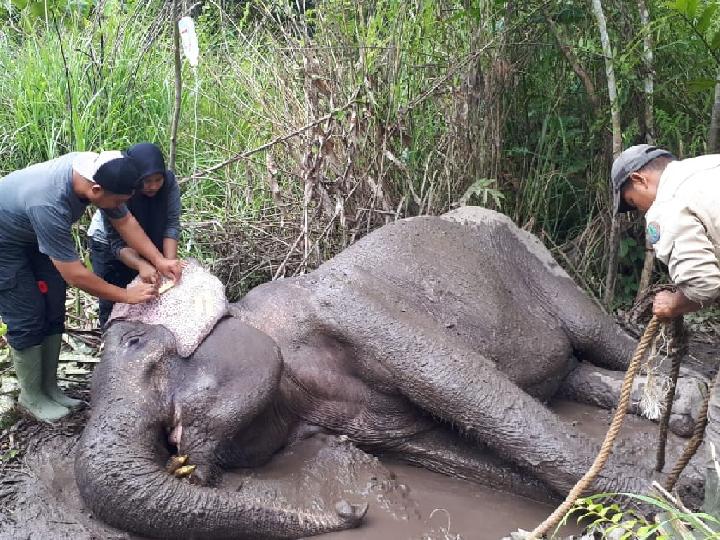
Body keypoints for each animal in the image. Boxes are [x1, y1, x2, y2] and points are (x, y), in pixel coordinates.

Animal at [76, 207, 704, 540]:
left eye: (135, 342)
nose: (351, 509)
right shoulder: (372, 424)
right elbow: (447, 447)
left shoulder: (351, 307)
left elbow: (470, 389)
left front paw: (675, 509)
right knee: (570, 371)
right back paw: (678, 408)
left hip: (536, 259)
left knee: (599, 335)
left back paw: (691, 400)